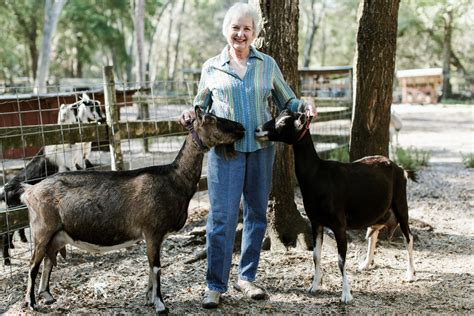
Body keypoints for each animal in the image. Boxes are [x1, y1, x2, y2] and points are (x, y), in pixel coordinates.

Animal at [20, 107, 246, 312]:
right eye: (212, 119)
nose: (242, 128)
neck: (174, 179)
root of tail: (29, 191)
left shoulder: (156, 236)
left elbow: (151, 267)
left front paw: (149, 299)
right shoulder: (152, 231)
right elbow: (156, 267)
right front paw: (160, 305)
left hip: (57, 235)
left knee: (48, 260)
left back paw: (47, 296)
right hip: (42, 231)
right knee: (32, 265)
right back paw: (31, 303)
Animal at [258, 108, 416, 304]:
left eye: (282, 123)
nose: (257, 130)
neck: (318, 175)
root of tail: (401, 169)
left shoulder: (339, 225)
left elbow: (341, 259)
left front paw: (346, 295)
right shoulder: (316, 222)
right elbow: (316, 255)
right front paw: (314, 286)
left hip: (401, 203)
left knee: (408, 237)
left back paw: (410, 274)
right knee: (374, 233)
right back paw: (366, 264)